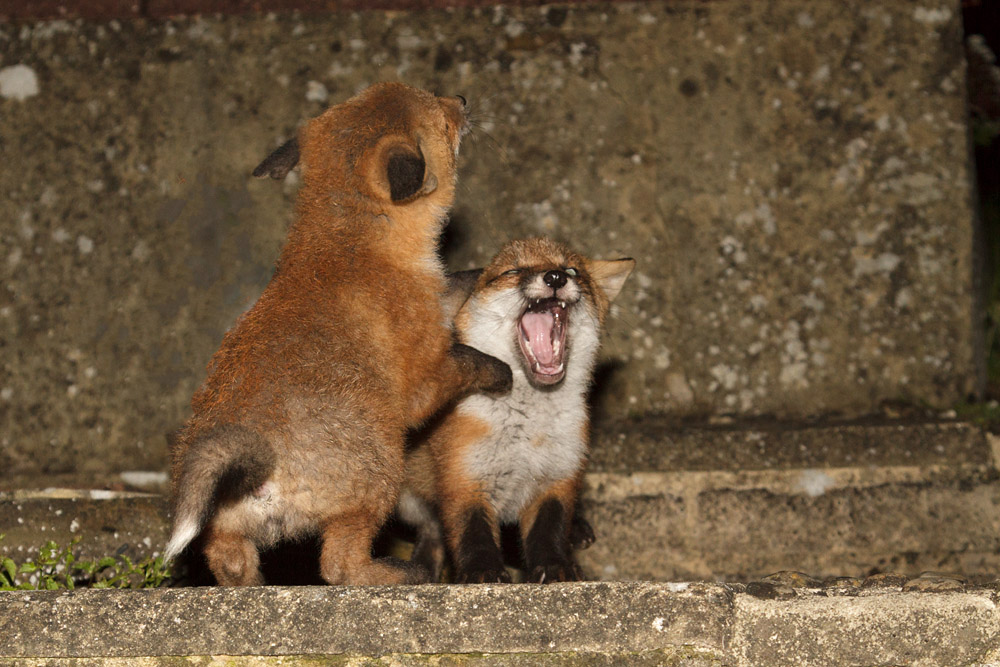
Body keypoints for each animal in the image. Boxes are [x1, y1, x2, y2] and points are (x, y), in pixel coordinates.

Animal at [163, 82, 512, 586]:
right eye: (442, 116)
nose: (463, 100)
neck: (349, 247)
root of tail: (262, 467)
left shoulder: (435, 299)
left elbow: (460, 283)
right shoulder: (424, 377)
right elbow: (468, 360)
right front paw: (502, 373)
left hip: (225, 535)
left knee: (232, 568)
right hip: (381, 475)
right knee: (338, 567)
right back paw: (403, 573)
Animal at [399, 238, 634, 583]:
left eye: (571, 270)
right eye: (512, 271)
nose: (554, 278)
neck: (528, 430)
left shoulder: (558, 477)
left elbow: (549, 533)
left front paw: (556, 568)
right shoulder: (464, 479)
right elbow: (472, 534)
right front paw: (482, 572)